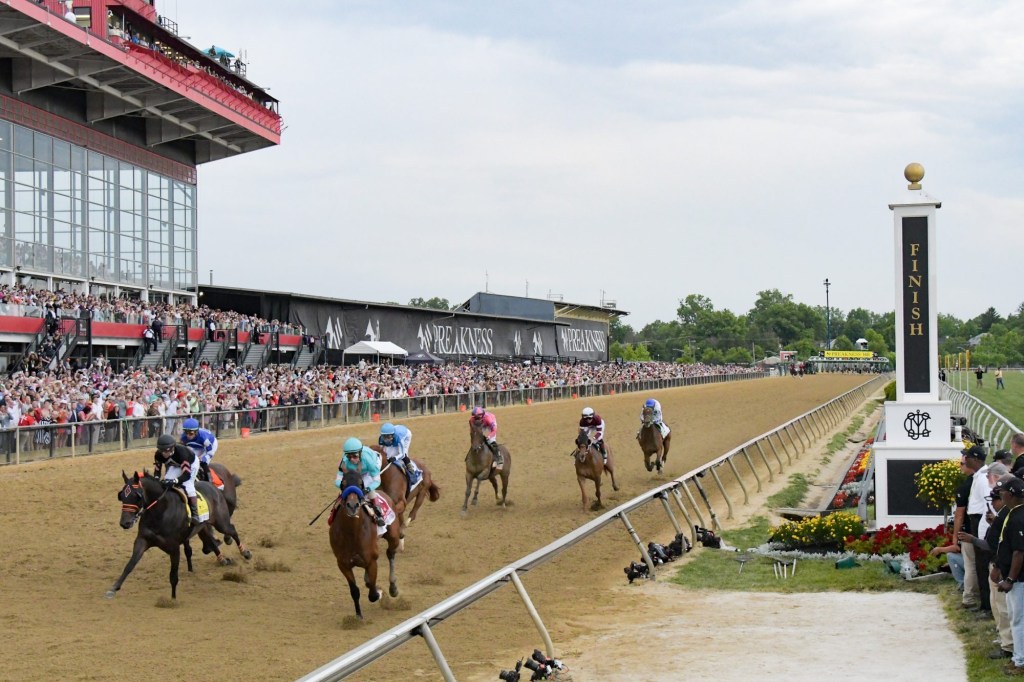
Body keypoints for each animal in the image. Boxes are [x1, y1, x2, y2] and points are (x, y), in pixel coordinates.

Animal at [107, 471, 252, 598]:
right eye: (122, 496)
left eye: (136, 496)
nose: (125, 523)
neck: (160, 512)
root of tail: (213, 487)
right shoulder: (142, 540)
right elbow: (129, 565)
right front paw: (113, 588)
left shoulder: (174, 547)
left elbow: (173, 575)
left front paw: (173, 598)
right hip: (202, 526)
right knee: (210, 540)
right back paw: (222, 559)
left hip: (221, 522)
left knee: (232, 530)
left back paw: (245, 552)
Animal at [331, 466, 403, 614]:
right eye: (343, 483)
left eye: (360, 483)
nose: (352, 505)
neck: (351, 534)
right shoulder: (343, 564)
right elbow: (354, 591)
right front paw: (358, 616)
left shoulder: (371, 562)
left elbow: (373, 594)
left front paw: (380, 592)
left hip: (393, 536)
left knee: (390, 554)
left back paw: (393, 587)